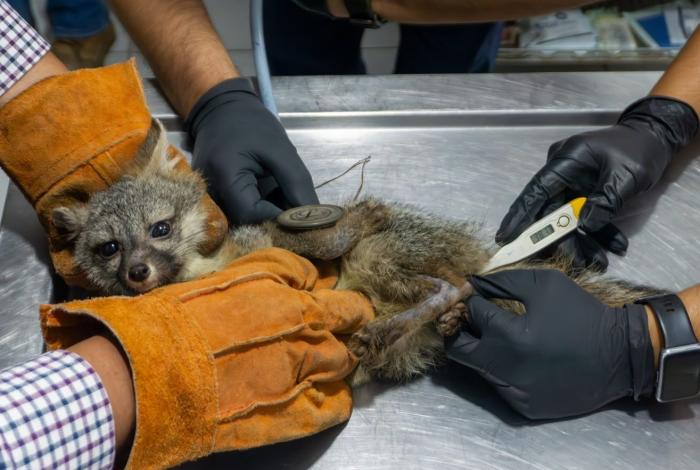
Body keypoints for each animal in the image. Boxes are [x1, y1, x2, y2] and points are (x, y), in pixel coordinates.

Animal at [52, 119, 662, 384]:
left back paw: (392, 321)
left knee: (451, 285)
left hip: (384, 259)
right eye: (108, 248)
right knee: (452, 293)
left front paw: (354, 218)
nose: (136, 272)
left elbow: (324, 238)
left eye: (159, 229)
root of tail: (478, 255)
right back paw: (418, 326)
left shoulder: (278, 241)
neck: (210, 266)